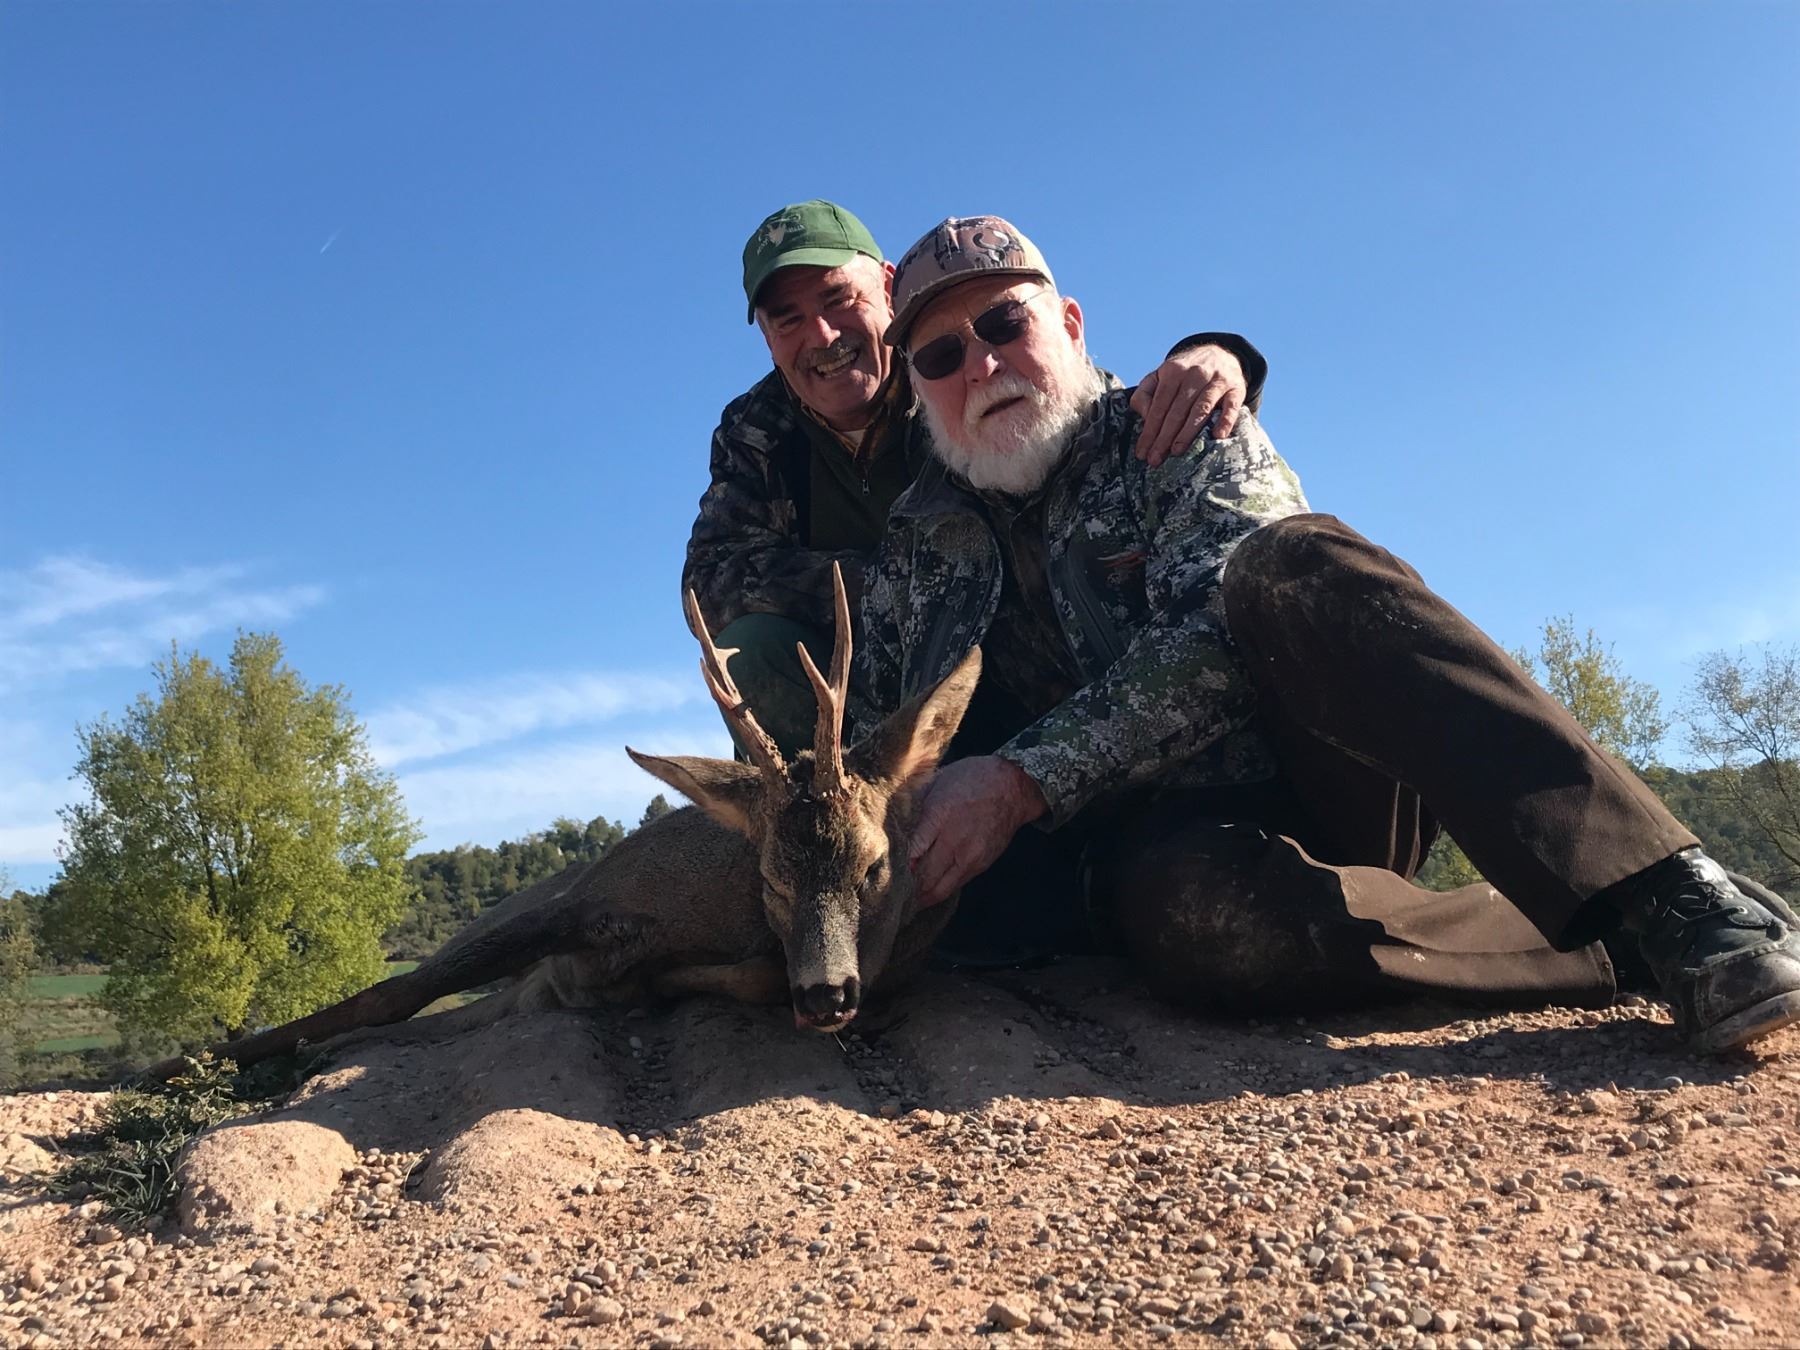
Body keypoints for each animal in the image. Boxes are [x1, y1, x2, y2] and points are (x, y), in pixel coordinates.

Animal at [145, 564, 981, 1081]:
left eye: (875, 866)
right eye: (770, 876)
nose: (827, 993)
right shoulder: (579, 903)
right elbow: (390, 990)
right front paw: (170, 1068)